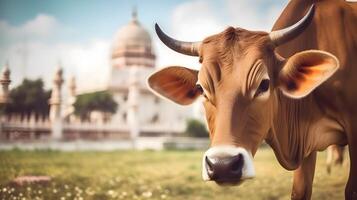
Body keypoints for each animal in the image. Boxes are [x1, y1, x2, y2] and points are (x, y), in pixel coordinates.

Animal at [147, 0, 356, 199]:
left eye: (264, 84)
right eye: (200, 88)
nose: (222, 165)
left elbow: (351, 190)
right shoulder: (306, 145)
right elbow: (300, 191)